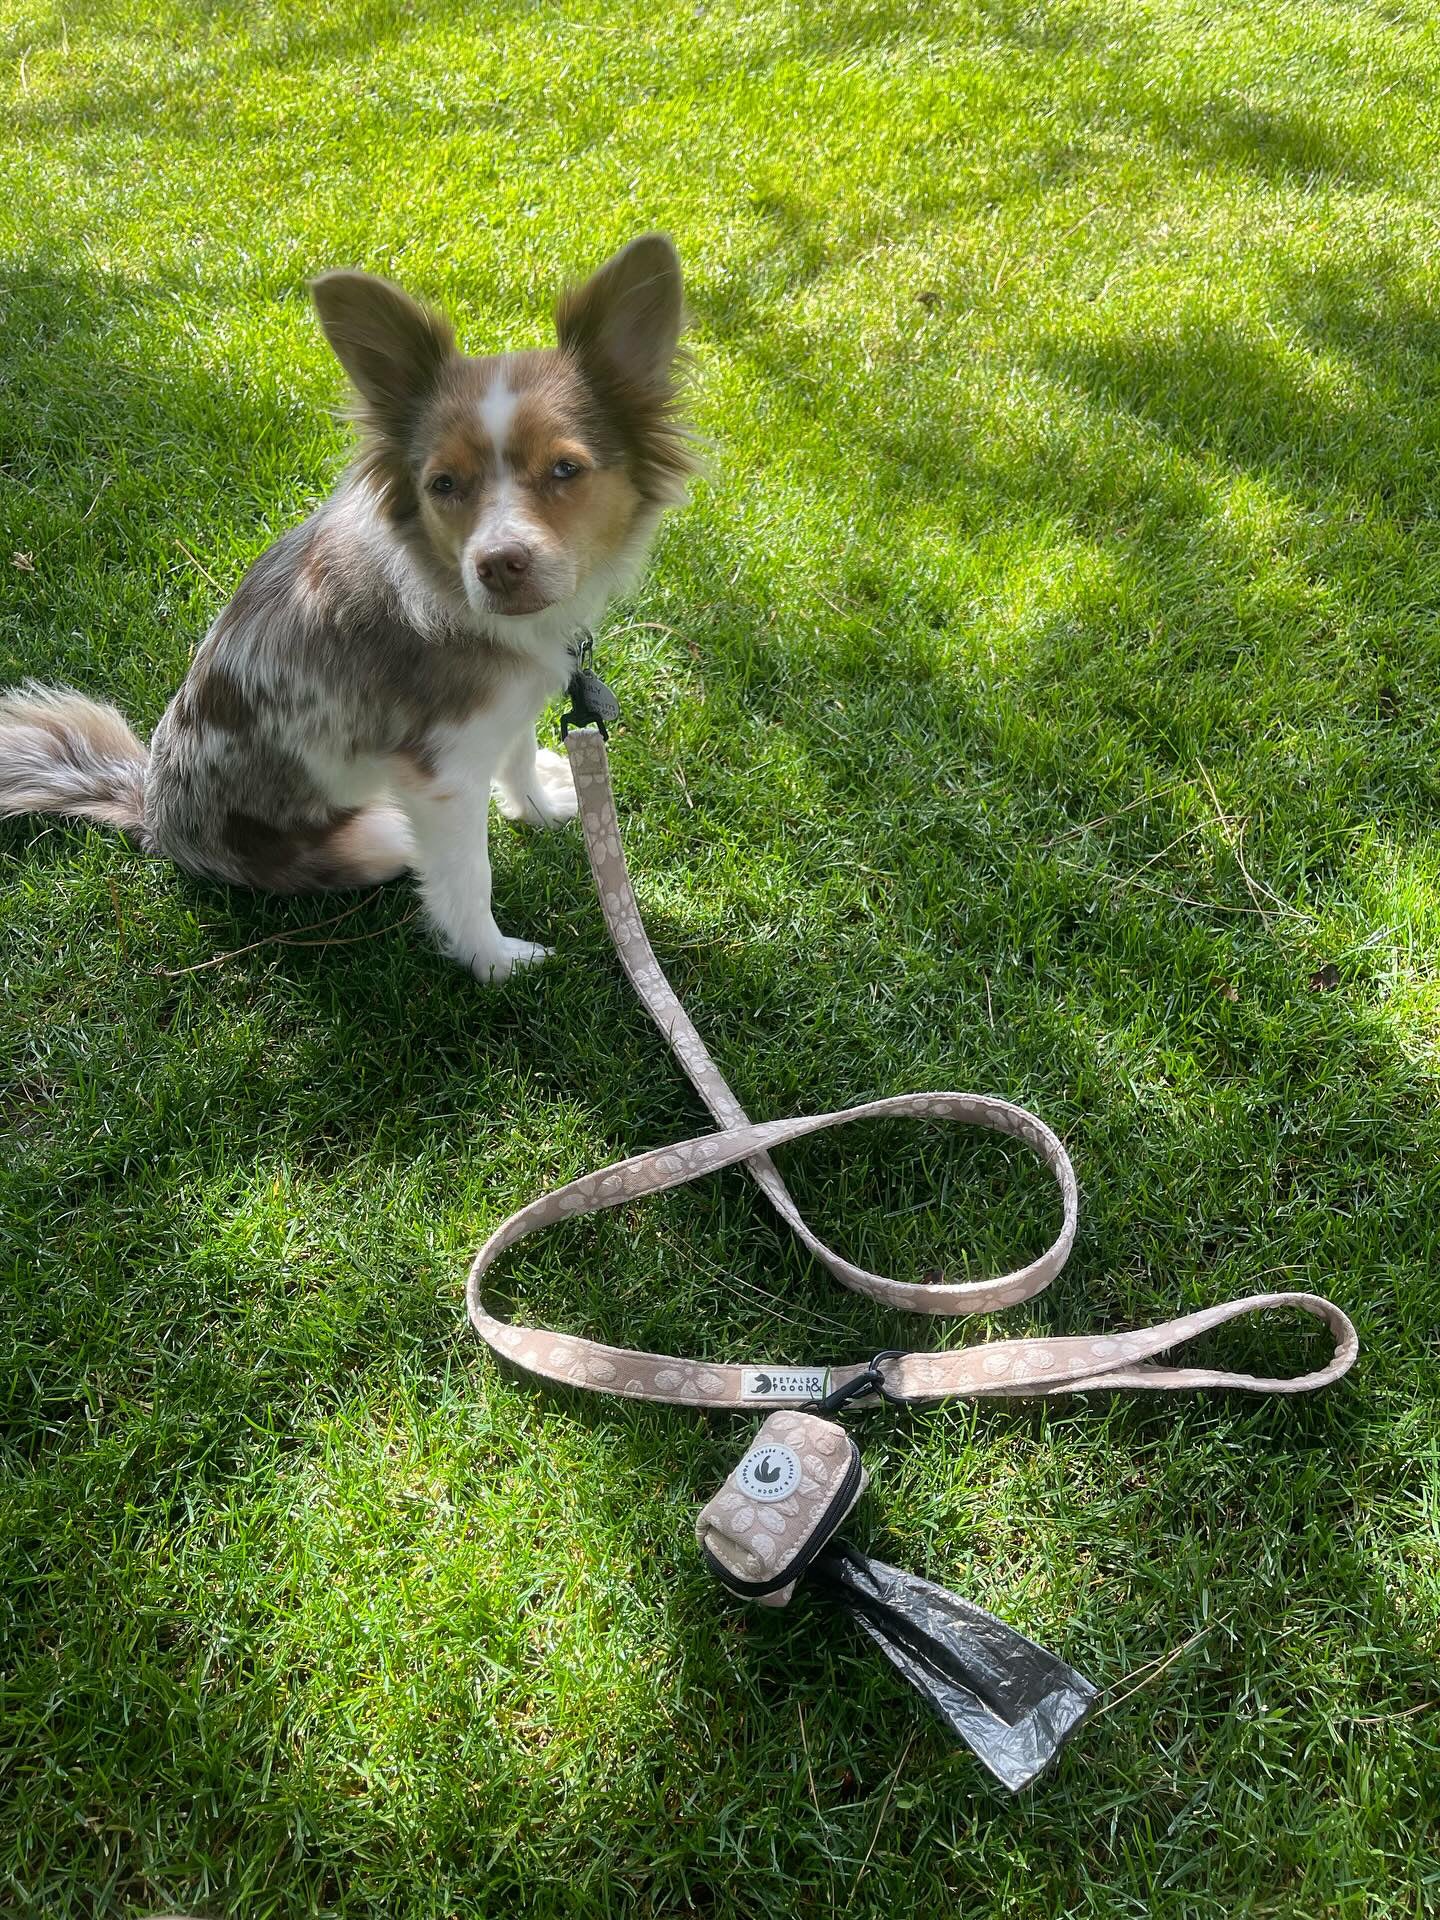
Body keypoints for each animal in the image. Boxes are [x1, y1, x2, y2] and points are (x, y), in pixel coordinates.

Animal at [0, 234, 695, 983]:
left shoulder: (512, 702)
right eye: (442, 484)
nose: (498, 565)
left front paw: (536, 806)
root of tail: (151, 814)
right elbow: (467, 880)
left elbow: (513, 754)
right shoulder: (439, 779)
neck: (462, 599)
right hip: (376, 832)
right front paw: (496, 965)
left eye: (566, 470)